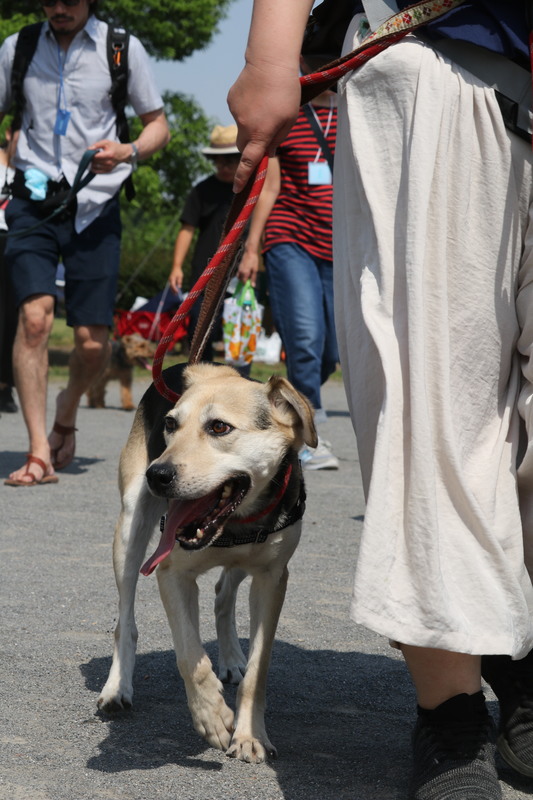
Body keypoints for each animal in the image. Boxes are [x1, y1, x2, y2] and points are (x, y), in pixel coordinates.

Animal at [97, 362, 317, 762]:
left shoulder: (272, 577)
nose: (157, 475)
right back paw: (117, 688)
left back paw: (230, 658)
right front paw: (211, 715)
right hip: (129, 532)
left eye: (219, 427)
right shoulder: (171, 573)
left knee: (222, 594)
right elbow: (190, 656)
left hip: (244, 564)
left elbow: (258, 670)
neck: (236, 523)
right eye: (170, 424)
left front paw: (249, 736)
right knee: (125, 620)